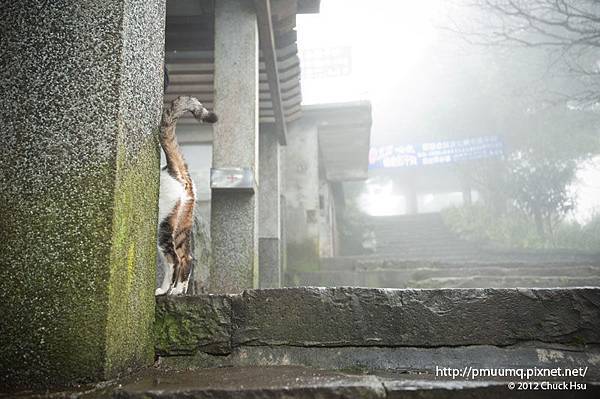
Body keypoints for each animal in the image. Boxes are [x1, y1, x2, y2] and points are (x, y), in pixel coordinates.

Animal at [156, 96, 219, 296]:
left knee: (173, 259)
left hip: (163, 226)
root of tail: (175, 170)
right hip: (182, 224)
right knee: (187, 258)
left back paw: (164, 290)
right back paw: (178, 291)